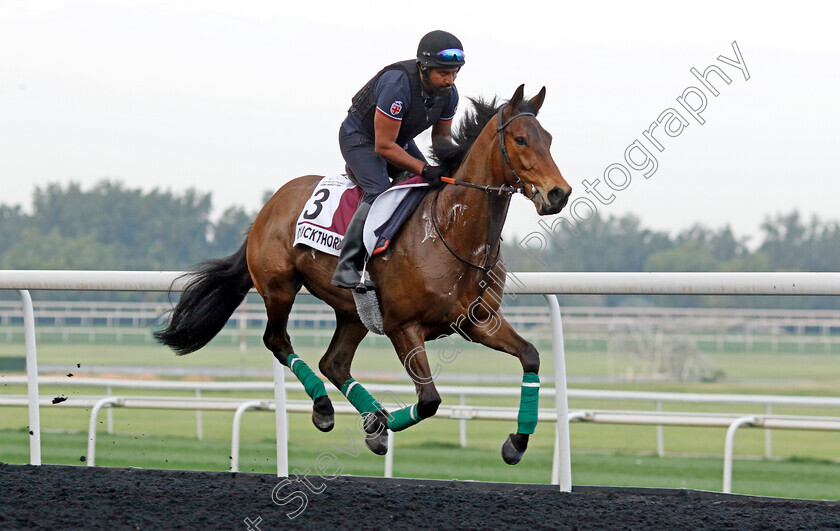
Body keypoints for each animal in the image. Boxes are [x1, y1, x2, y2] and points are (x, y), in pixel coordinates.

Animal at [153, 83, 572, 466]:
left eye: (549, 140)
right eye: (520, 139)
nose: (558, 193)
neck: (452, 231)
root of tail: (269, 205)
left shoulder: (477, 321)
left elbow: (531, 356)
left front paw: (516, 442)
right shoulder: (404, 327)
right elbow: (429, 401)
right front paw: (381, 426)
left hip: (353, 311)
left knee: (333, 363)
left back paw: (362, 415)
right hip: (279, 287)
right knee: (278, 341)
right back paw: (328, 410)